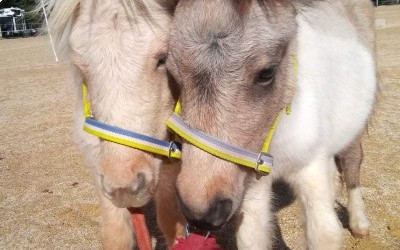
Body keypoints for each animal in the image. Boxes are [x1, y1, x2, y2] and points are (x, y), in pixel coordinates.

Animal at [40, 0, 184, 248]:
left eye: (164, 58)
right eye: (80, 66)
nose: (125, 186)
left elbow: (172, 223)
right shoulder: (99, 163)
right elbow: (116, 234)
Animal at [165, 0, 376, 249]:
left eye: (267, 73)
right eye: (173, 75)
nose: (201, 214)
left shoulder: (310, 166)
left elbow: (326, 234)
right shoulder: (250, 184)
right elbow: (250, 238)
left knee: (352, 161)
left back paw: (359, 222)